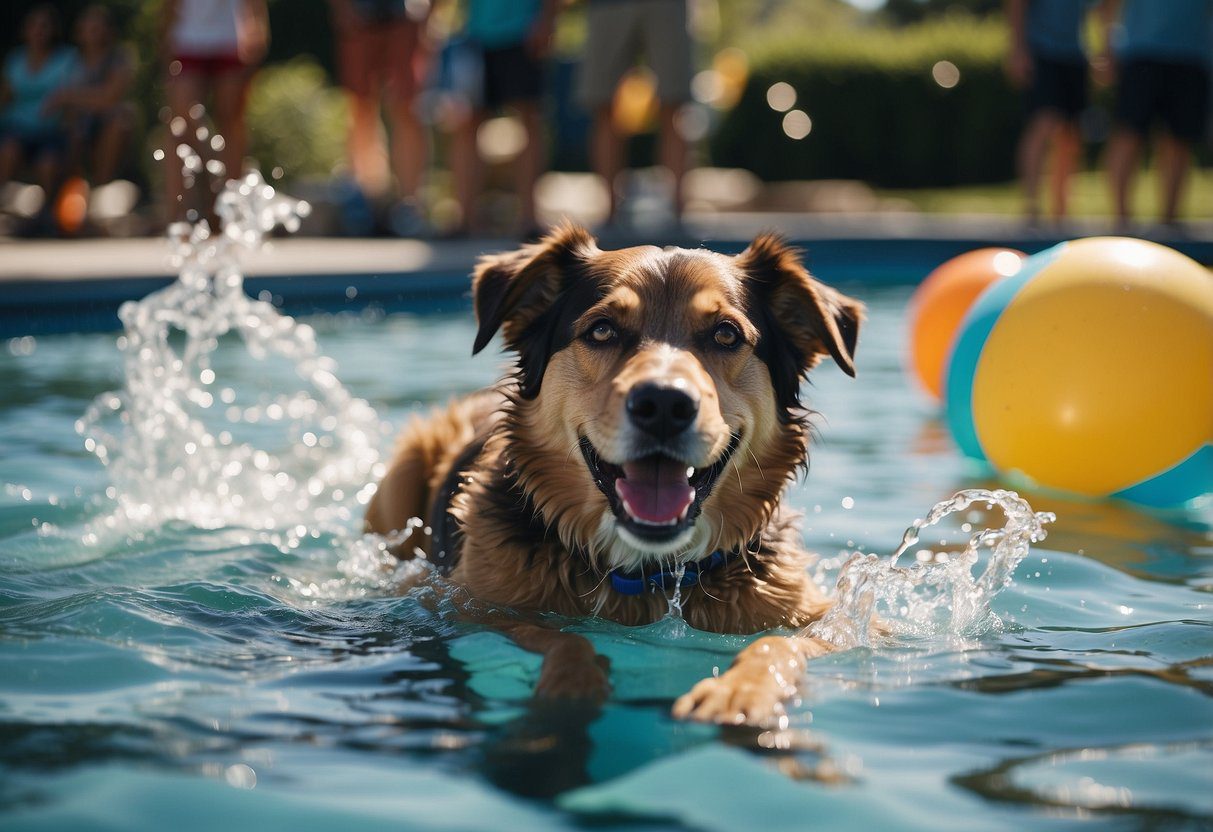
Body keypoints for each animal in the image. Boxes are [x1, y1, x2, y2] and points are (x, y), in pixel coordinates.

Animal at [366, 224, 863, 727]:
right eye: (602, 330)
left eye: (726, 335)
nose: (664, 404)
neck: (646, 571)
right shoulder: (456, 603)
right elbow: (561, 636)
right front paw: (570, 689)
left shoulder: (829, 619)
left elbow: (780, 643)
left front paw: (741, 693)